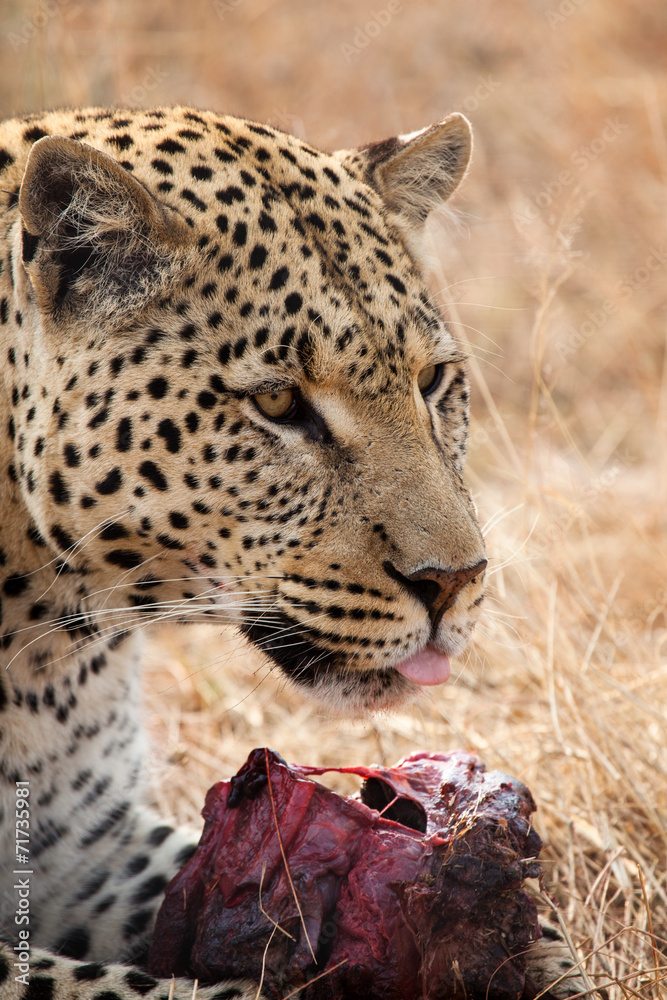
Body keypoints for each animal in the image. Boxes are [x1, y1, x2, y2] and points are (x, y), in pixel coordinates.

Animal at [0, 105, 588, 999]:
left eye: (431, 382)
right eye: (278, 403)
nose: (455, 580)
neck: (54, 648)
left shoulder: (85, 851)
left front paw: (527, 949)